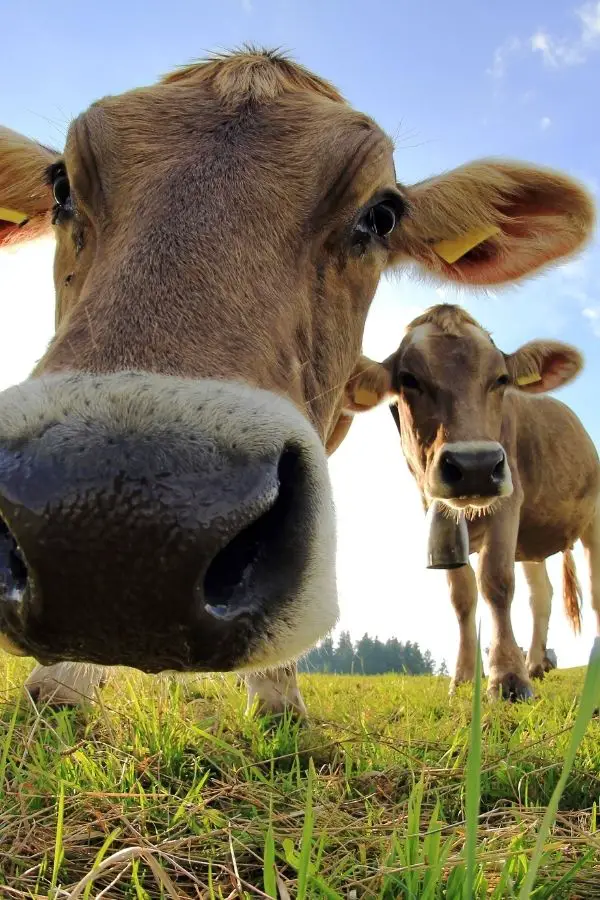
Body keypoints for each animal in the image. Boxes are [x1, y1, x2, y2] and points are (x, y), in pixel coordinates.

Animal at [352, 306, 600, 700]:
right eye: (409, 379)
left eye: (500, 379)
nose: (475, 467)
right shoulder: (438, 516)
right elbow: (462, 595)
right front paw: (466, 676)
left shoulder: (507, 504)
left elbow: (496, 582)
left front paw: (507, 678)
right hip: (531, 542)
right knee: (541, 596)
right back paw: (535, 664)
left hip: (593, 518)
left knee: (594, 589)